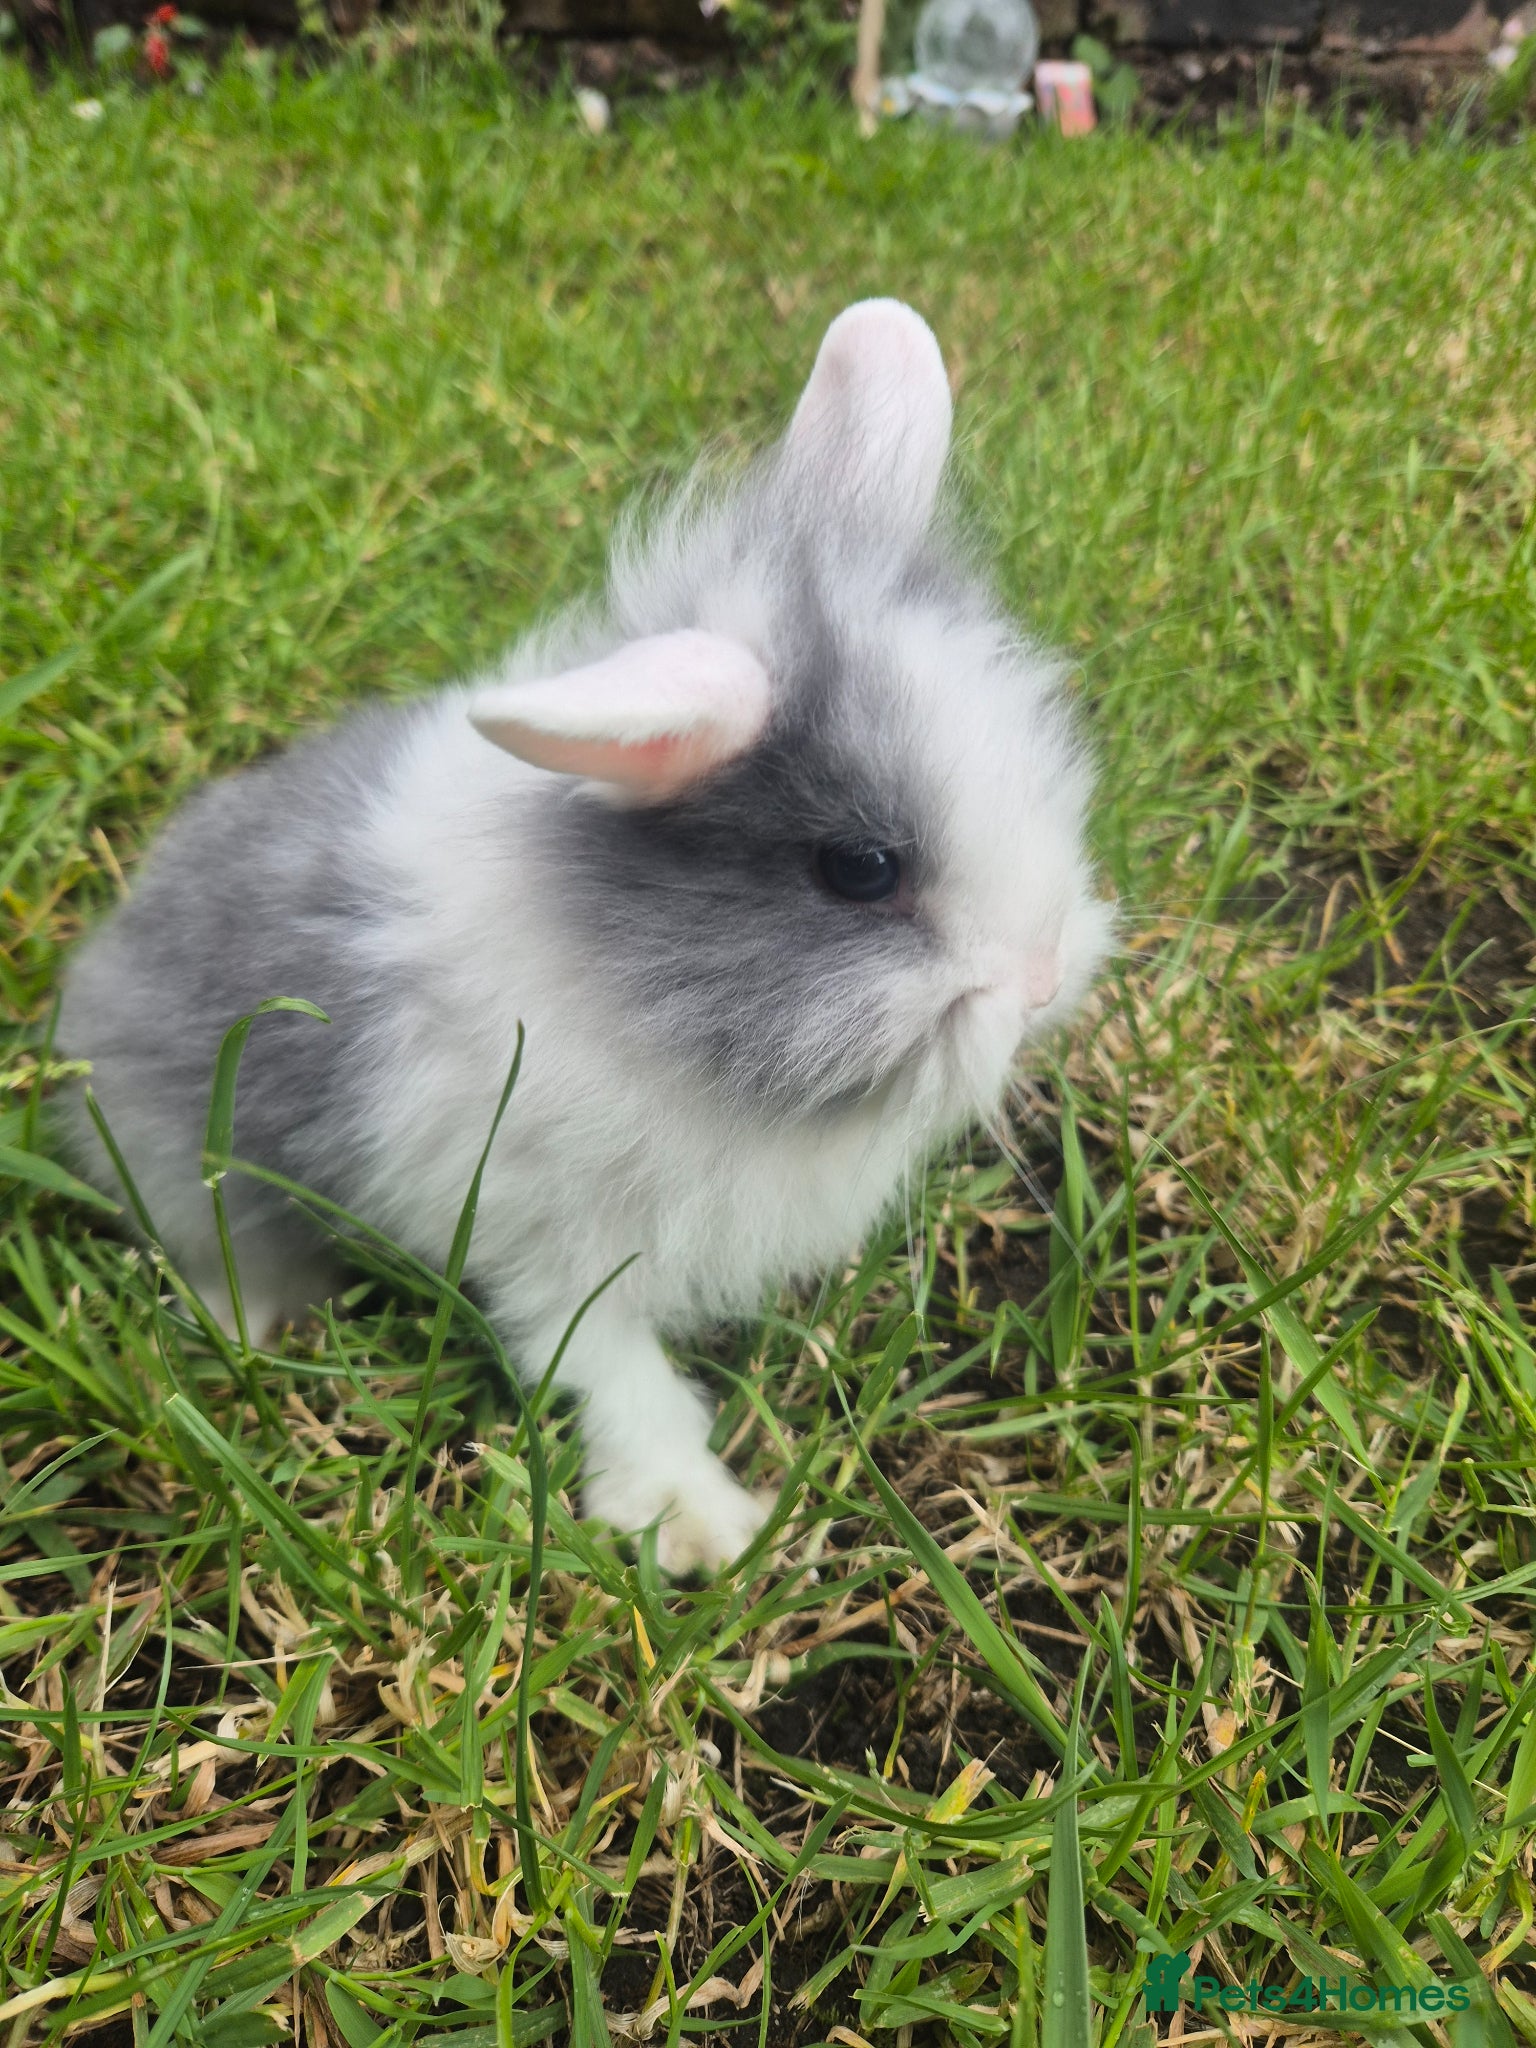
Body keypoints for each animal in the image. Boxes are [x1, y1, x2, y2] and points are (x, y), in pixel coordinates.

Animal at [57, 299, 1113, 1574]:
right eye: (860, 869)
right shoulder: (552, 1247)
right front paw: (702, 1529)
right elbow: (622, 1380)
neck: (649, 994)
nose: (1045, 977)